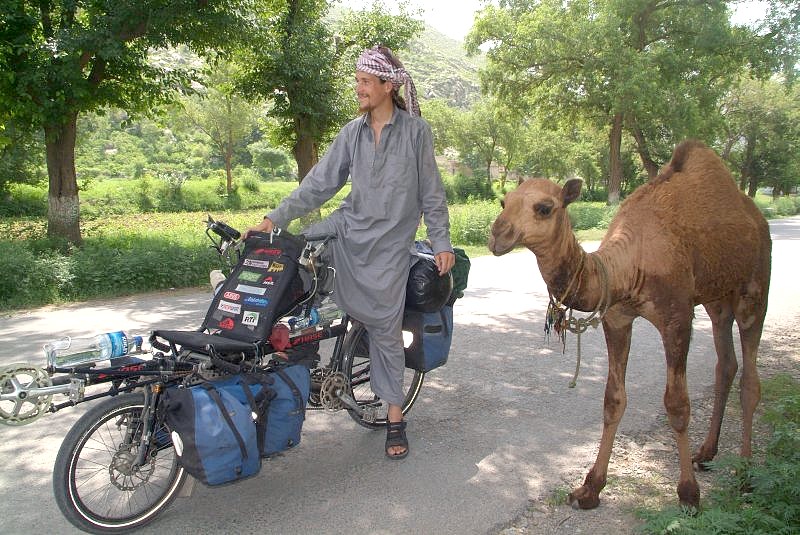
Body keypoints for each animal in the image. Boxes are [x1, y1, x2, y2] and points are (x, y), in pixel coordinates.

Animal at [488, 140, 768, 508]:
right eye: (504, 201)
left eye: (544, 207)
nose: (497, 235)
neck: (628, 268)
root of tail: (759, 218)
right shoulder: (617, 318)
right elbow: (613, 400)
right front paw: (589, 488)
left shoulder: (677, 318)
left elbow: (677, 404)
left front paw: (689, 495)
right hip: (717, 297)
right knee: (726, 364)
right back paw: (706, 453)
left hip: (754, 288)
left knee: (750, 379)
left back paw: (746, 476)